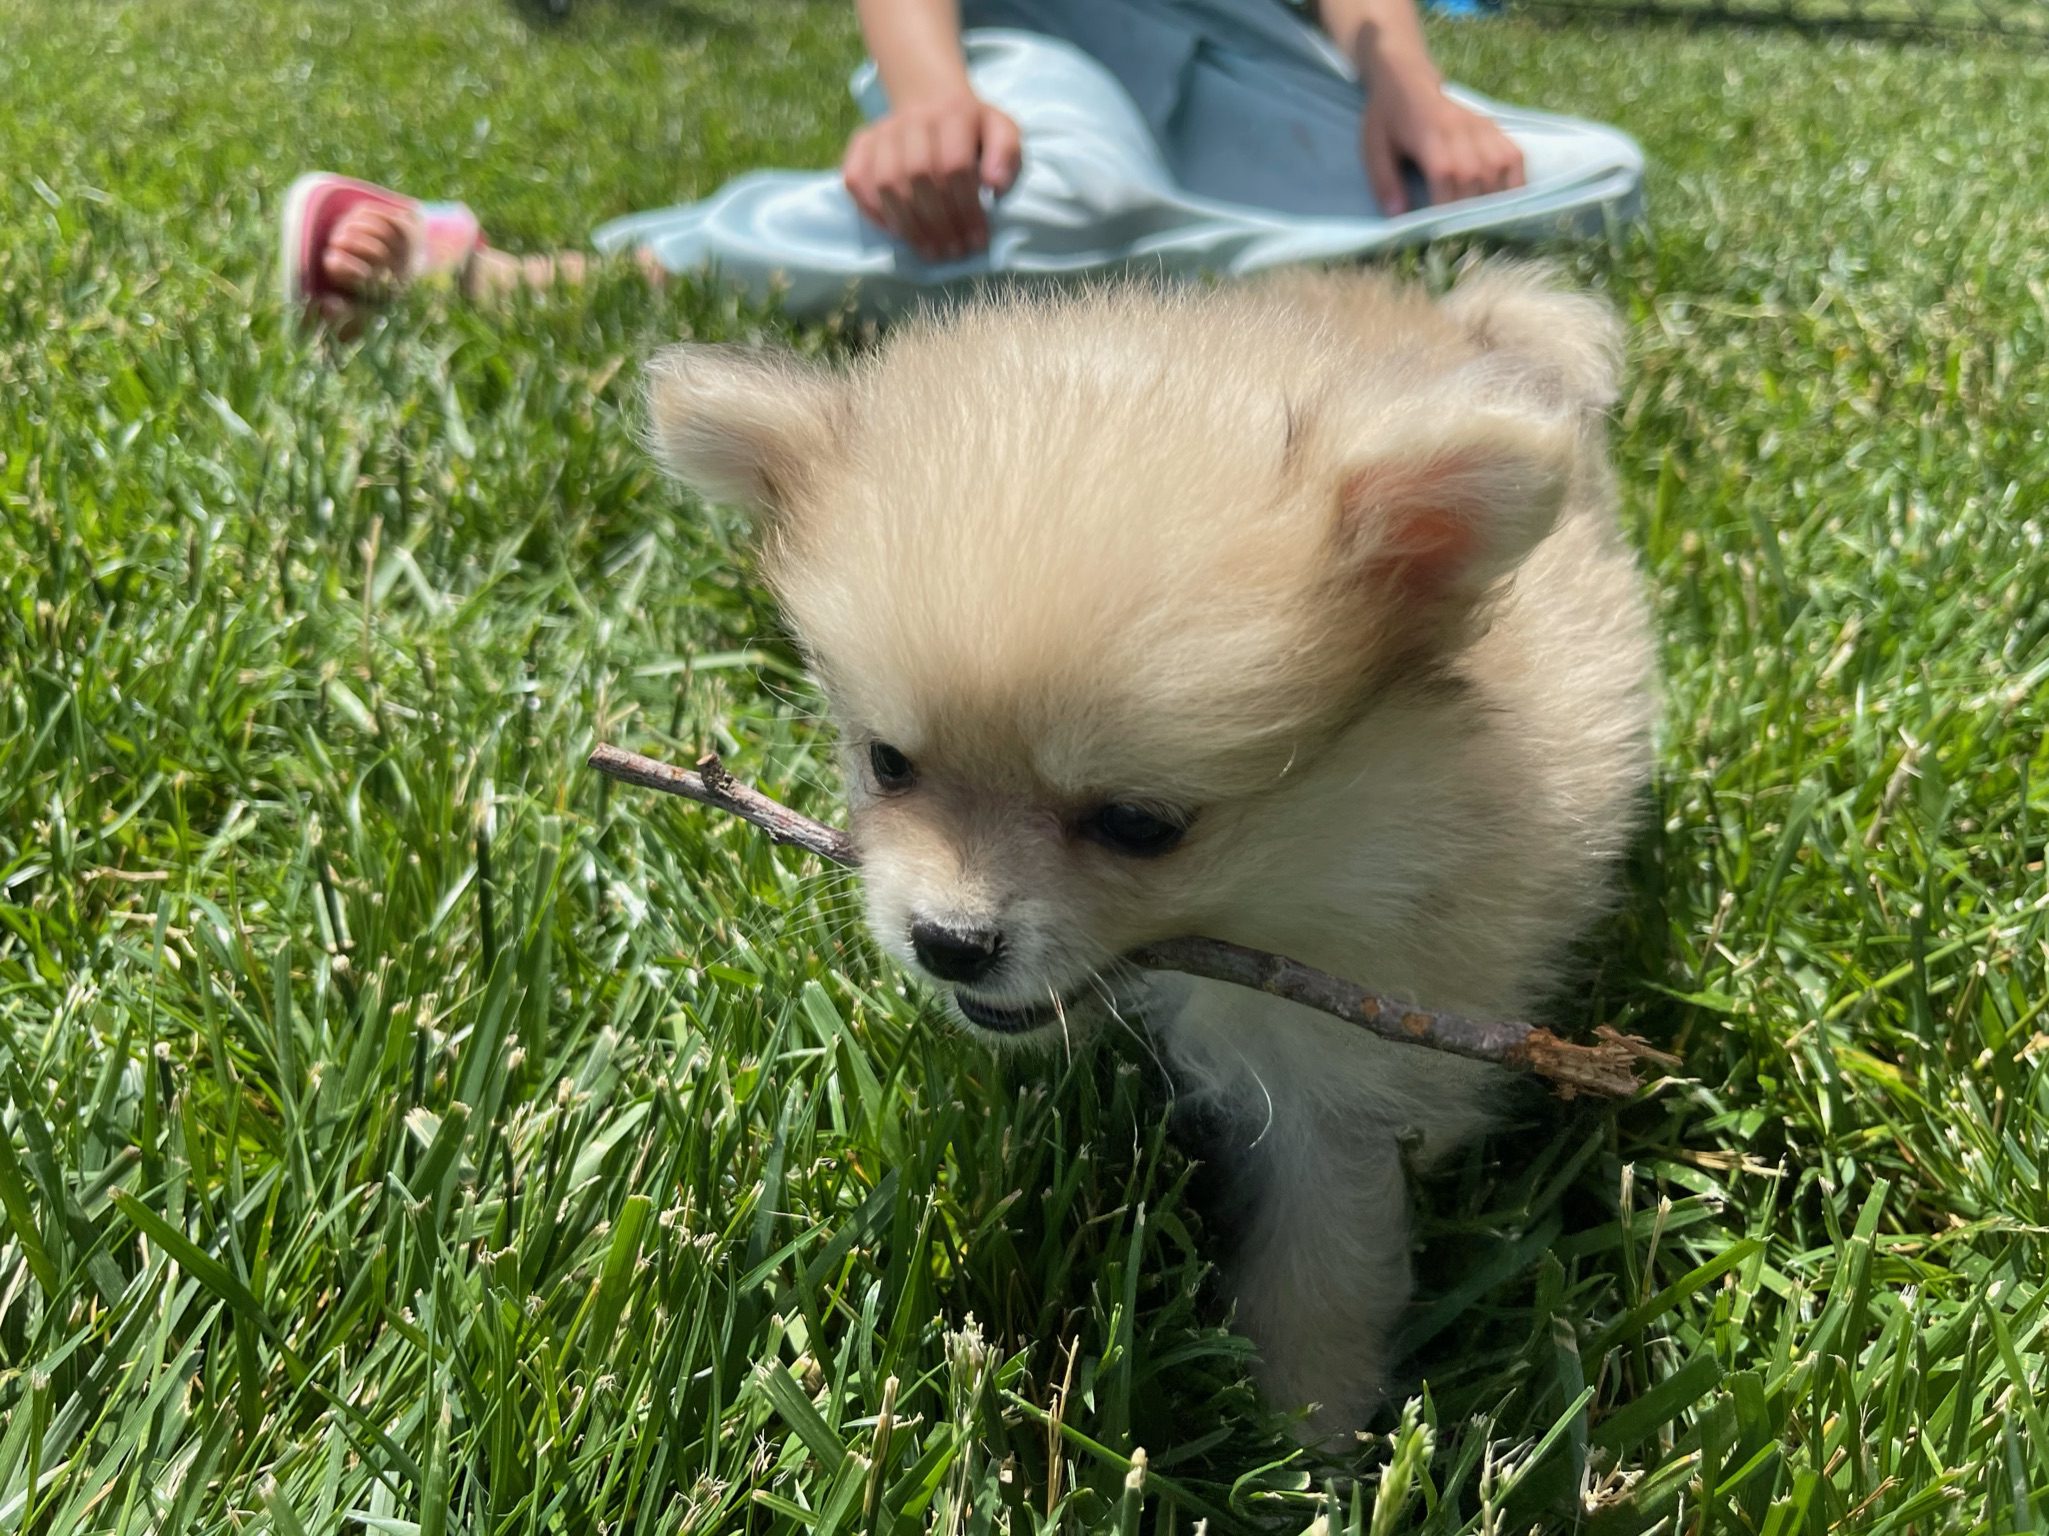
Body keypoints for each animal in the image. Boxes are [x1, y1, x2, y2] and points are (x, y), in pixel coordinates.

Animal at [647, 262, 1655, 1441]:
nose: (948, 942)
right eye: (888, 763)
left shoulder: (1357, 1051)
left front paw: (1307, 1430)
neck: (1339, 846)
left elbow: (1328, 1250)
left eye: (1139, 826)